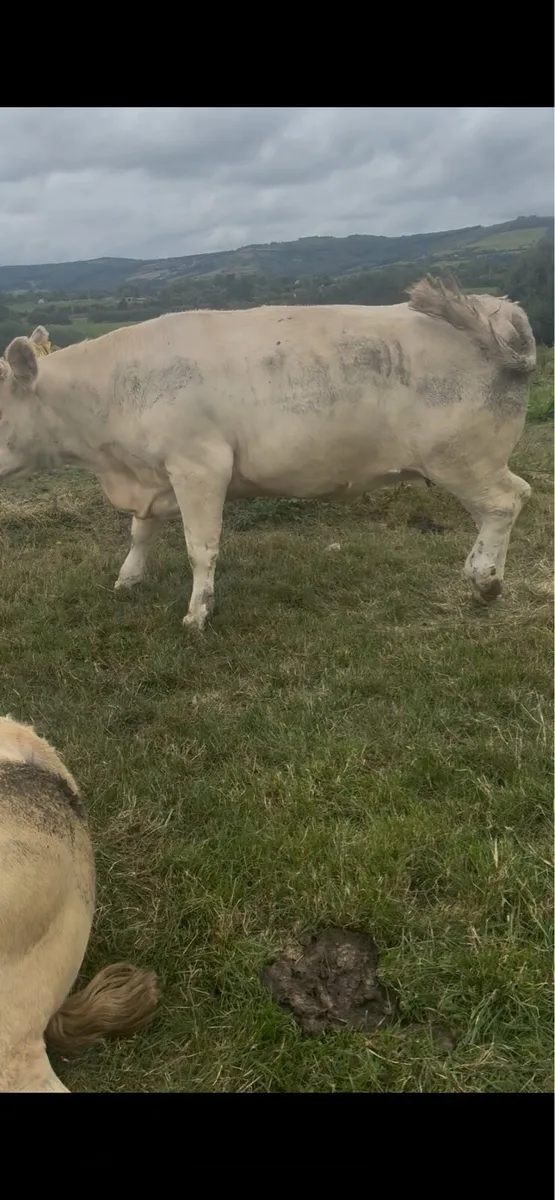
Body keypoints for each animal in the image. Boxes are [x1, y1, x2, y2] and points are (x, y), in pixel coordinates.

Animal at [0, 275, 535, 632]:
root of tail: (496, 309)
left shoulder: (200, 466)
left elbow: (200, 546)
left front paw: (197, 612)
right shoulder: (153, 476)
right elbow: (141, 532)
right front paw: (128, 579)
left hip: (462, 456)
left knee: (504, 502)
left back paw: (484, 580)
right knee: (515, 495)